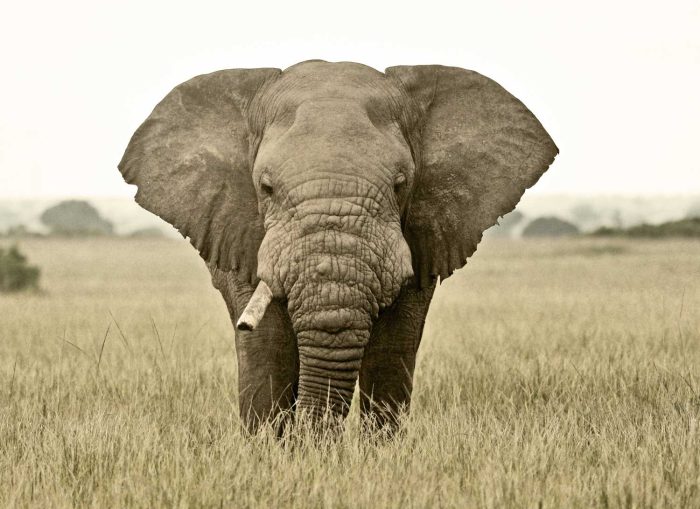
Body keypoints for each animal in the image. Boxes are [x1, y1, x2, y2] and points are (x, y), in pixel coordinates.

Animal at [118, 60, 557, 433]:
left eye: (400, 184)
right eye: (266, 187)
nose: (309, 449)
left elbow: (393, 348)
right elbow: (268, 346)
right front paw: (270, 453)